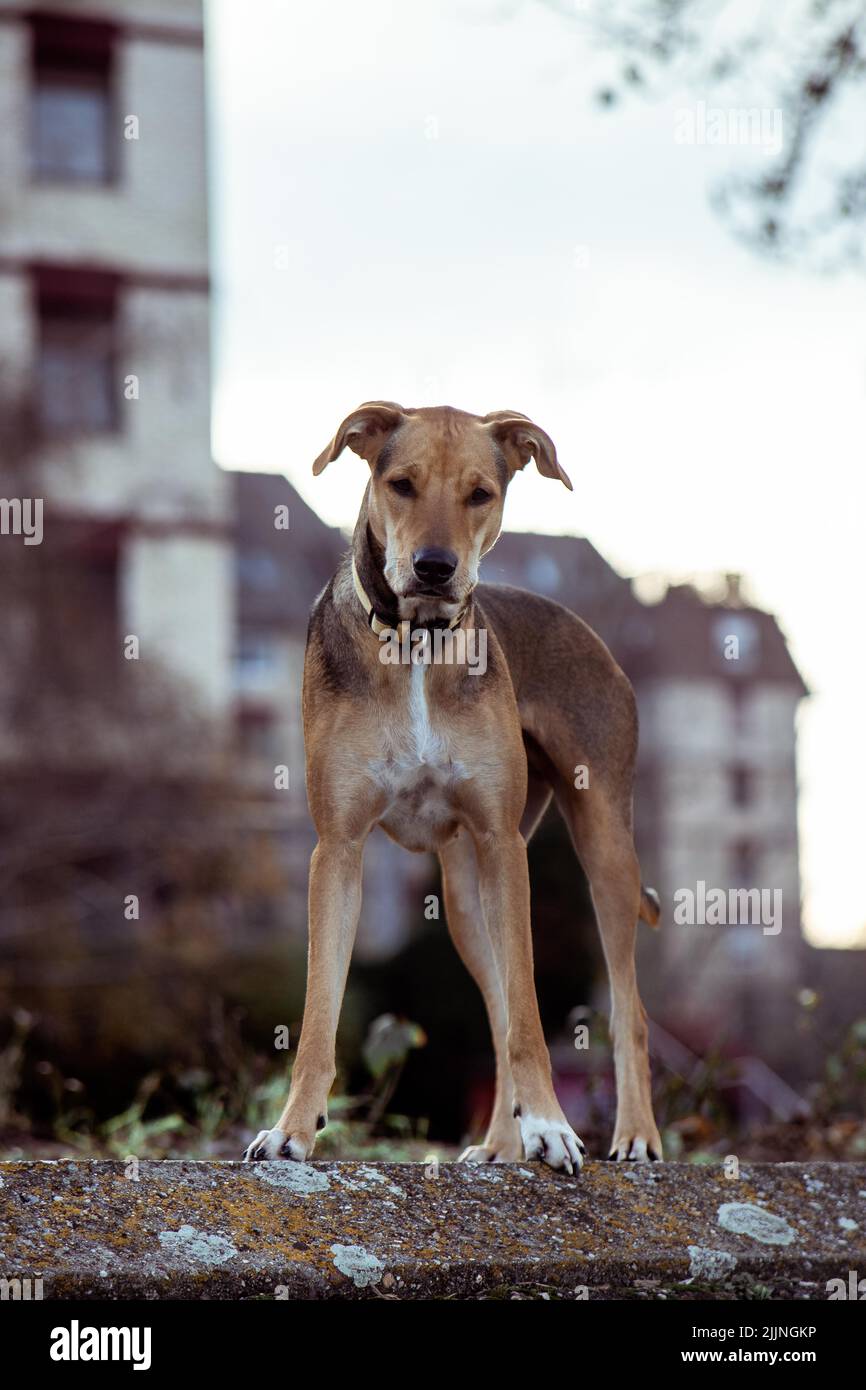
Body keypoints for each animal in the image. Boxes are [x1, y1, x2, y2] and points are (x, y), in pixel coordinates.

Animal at [244, 403, 664, 1173]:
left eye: (480, 494)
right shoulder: (337, 850)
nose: (435, 568)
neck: (416, 643)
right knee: (495, 1008)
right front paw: (292, 1131)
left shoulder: (503, 846)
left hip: (603, 847)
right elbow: (320, 1012)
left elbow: (529, 1015)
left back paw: (634, 1136)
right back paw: (503, 1144)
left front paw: (555, 1127)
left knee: (627, 1009)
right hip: (467, 898)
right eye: (402, 484)